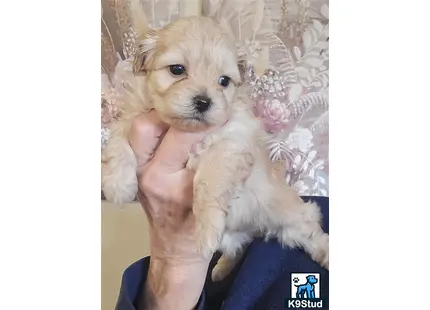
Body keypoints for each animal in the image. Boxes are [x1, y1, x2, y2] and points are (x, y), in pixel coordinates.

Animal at [101, 14, 330, 280]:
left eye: (224, 81)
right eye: (177, 70)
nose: (203, 101)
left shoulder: (230, 143)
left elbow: (208, 182)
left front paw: (207, 230)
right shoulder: (135, 115)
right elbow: (118, 140)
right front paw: (118, 185)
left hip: (291, 220)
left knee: (312, 233)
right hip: (232, 237)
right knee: (239, 248)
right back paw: (221, 270)